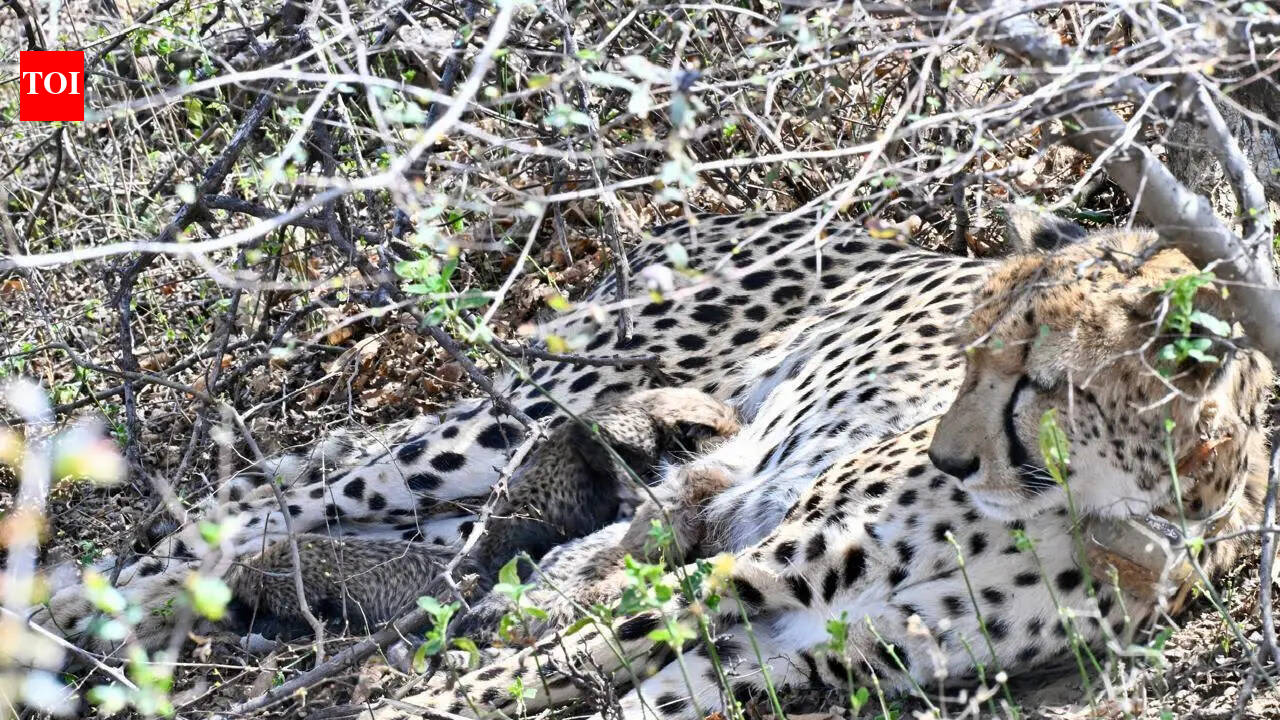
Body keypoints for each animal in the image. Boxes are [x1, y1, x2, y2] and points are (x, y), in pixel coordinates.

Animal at [363, 213, 1274, 720]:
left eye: (1037, 380)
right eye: (965, 357)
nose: (948, 458)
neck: (1092, 510)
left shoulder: (809, 646)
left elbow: (625, 687)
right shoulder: (753, 570)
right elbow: (544, 667)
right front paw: (412, 705)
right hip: (515, 414)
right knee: (348, 474)